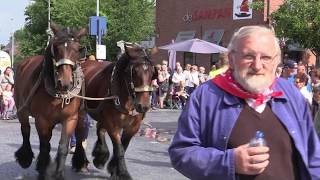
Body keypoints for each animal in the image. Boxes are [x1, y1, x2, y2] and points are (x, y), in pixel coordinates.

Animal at [13, 23, 87, 179]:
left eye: (77, 49)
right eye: (56, 48)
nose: (64, 82)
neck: (59, 95)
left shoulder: (70, 118)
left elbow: (63, 146)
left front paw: (59, 174)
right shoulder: (42, 120)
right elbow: (44, 146)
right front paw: (43, 170)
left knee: (80, 133)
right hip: (22, 109)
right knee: (25, 129)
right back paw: (26, 157)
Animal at [79, 44, 156, 180]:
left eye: (152, 73)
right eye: (134, 72)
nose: (144, 106)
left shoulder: (133, 127)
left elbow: (123, 147)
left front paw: (113, 169)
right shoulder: (113, 125)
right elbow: (119, 148)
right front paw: (123, 173)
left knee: (100, 130)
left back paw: (100, 156)